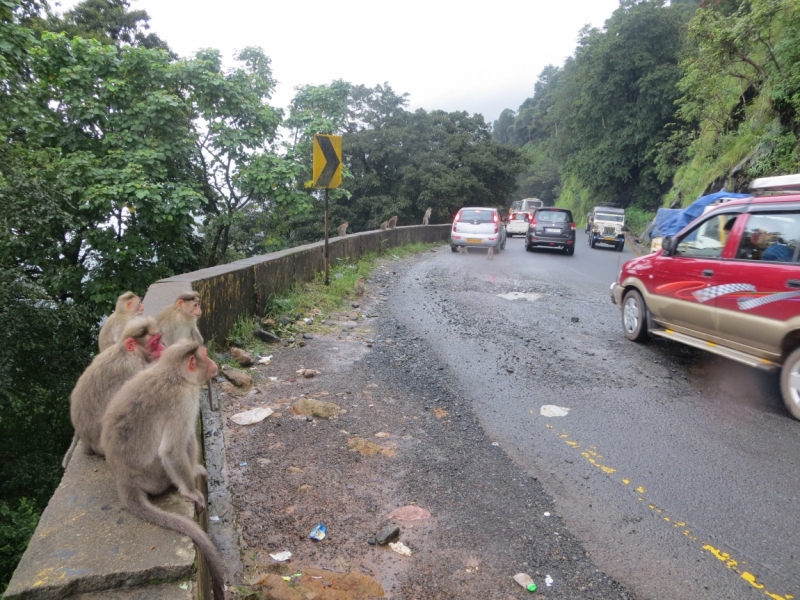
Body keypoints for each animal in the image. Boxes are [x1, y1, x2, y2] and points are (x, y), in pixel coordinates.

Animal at [63, 316, 164, 466]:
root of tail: (89, 446)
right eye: (155, 342)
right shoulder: (132, 368)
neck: (129, 353)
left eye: (159, 340)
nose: (163, 348)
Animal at [101, 342, 225, 600]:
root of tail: (123, 480)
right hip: (156, 476)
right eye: (206, 357)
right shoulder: (183, 401)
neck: (175, 374)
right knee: (183, 438)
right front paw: (191, 492)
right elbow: (170, 450)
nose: (213, 364)